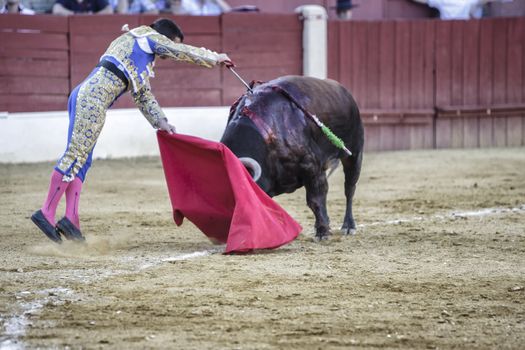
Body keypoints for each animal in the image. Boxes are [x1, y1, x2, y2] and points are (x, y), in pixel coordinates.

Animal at [219, 75, 362, 241]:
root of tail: (344, 92)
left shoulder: (312, 168)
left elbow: (315, 201)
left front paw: (323, 232)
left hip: (354, 154)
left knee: (349, 189)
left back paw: (348, 226)